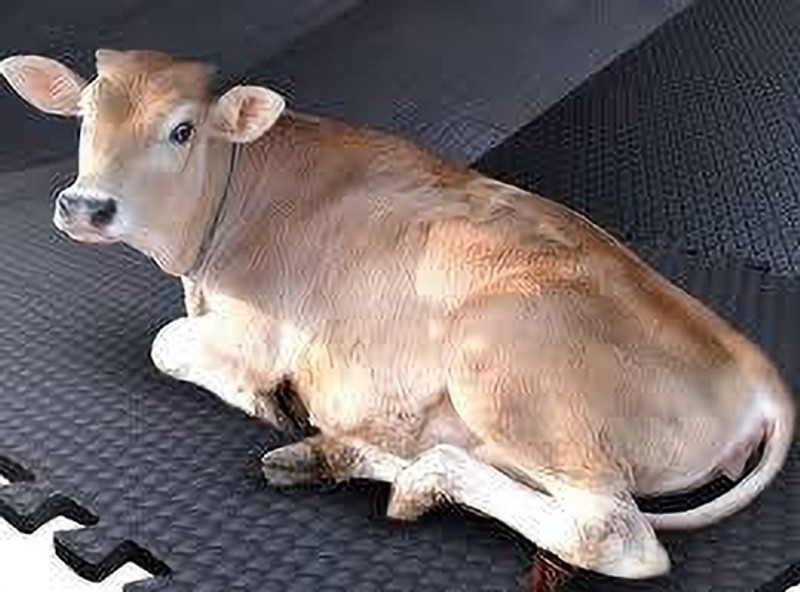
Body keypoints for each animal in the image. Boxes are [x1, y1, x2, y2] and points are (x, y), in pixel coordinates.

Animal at [1, 49, 795, 590]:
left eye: (182, 130)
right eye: (85, 113)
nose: (85, 206)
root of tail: (756, 366)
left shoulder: (256, 333)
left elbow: (167, 345)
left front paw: (268, 400)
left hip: (506, 373)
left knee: (612, 532)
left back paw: (404, 471)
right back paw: (334, 454)